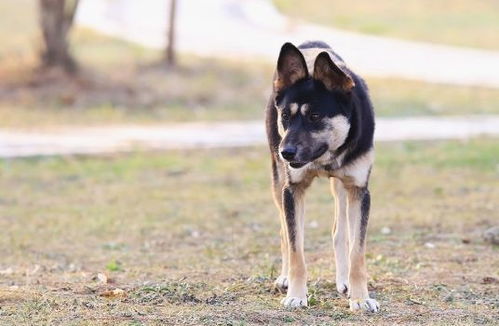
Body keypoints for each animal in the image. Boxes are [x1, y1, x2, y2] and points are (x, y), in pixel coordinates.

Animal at [266, 41, 378, 314]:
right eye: (285, 116)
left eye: (315, 116)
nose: (286, 152)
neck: (325, 158)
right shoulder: (292, 190)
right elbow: (296, 248)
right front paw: (296, 295)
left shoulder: (359, 190)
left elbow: (357, 252)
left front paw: (361, 298)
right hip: (277, 182)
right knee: (284, 232)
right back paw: (284, 277)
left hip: (341, 187)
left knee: (339, 231)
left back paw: (343, 280)